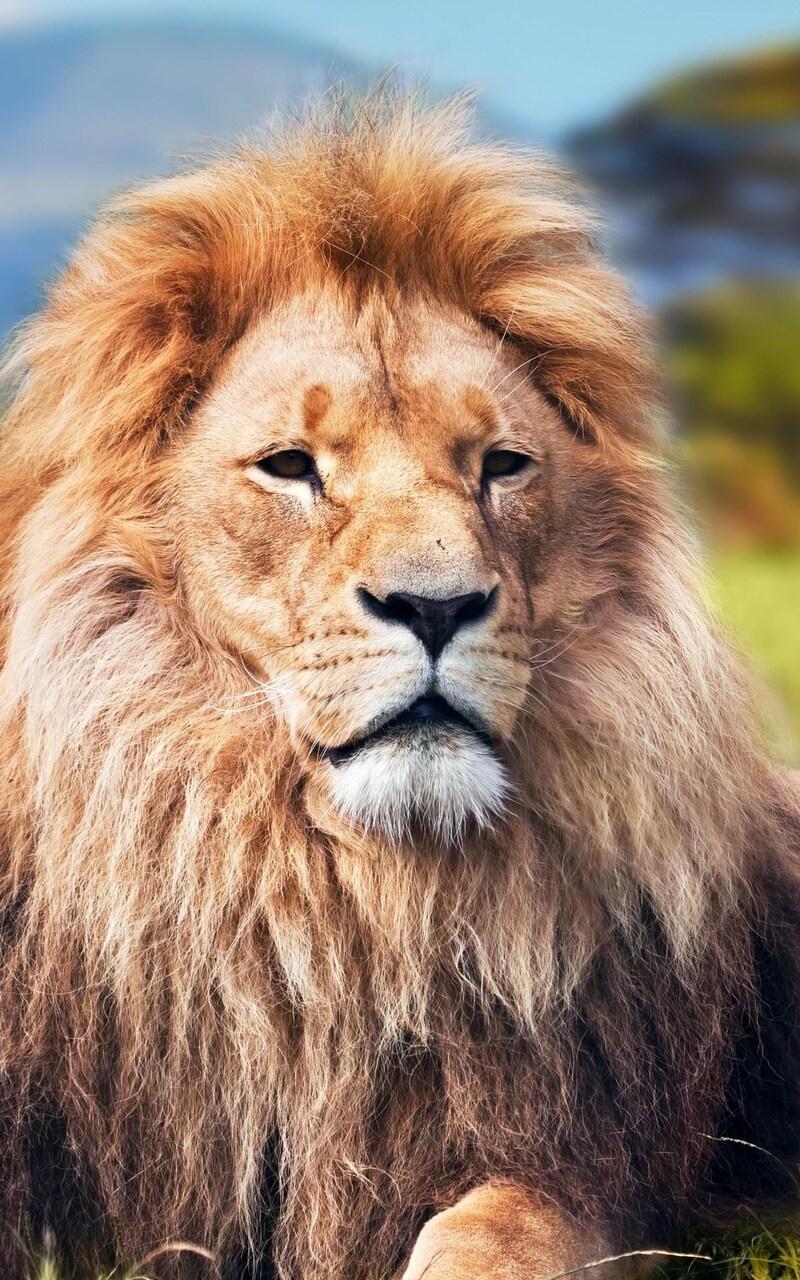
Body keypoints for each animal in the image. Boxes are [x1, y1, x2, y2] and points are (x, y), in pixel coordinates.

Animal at [0, 92, 799, 1280]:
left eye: (501, 464)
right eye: (290, 465)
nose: (435, 606)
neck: (343, 906)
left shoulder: (592, 1161)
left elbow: (495, 1229)